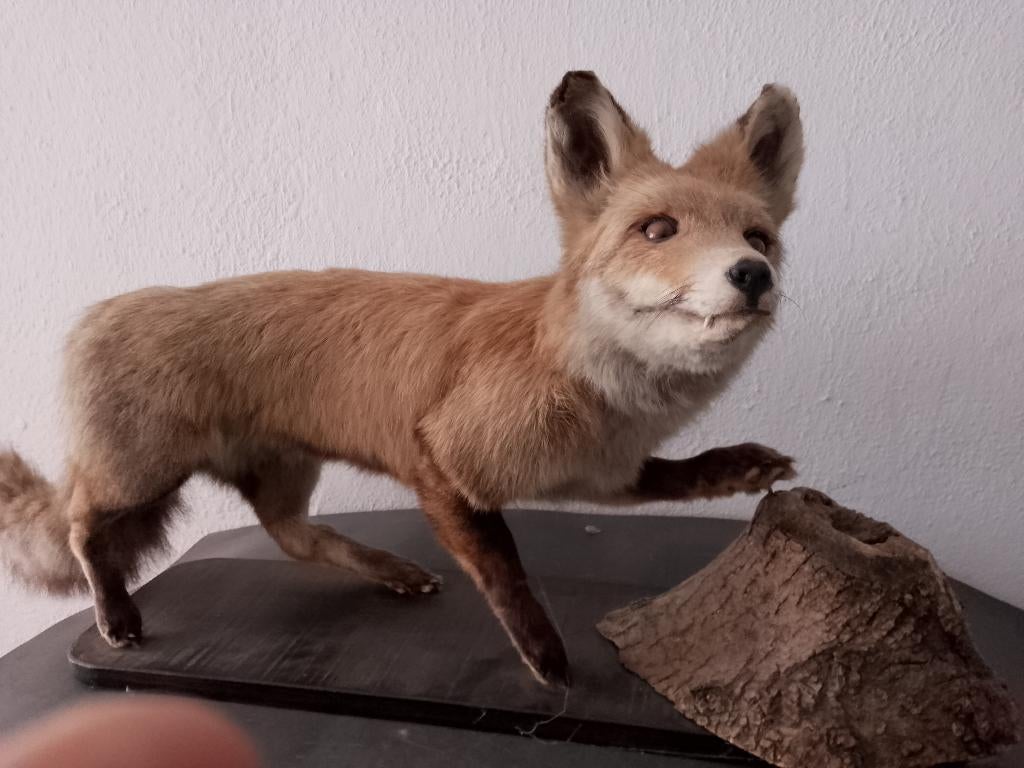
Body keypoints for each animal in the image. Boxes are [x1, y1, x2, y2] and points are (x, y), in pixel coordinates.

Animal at [0, 71, 803, 687]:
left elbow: (676, 476)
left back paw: (389, 569)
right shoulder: (442, 463)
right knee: (81, 526)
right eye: (658, 230)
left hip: (284, 470)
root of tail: (99, 311)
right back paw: (116, 616)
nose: (752, 275)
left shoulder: (602, 476)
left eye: (759, 239)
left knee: (291, 536)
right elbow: (505, 570)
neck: (604, 402)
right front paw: (544, 654)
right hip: (140, 476)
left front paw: (739, 466)